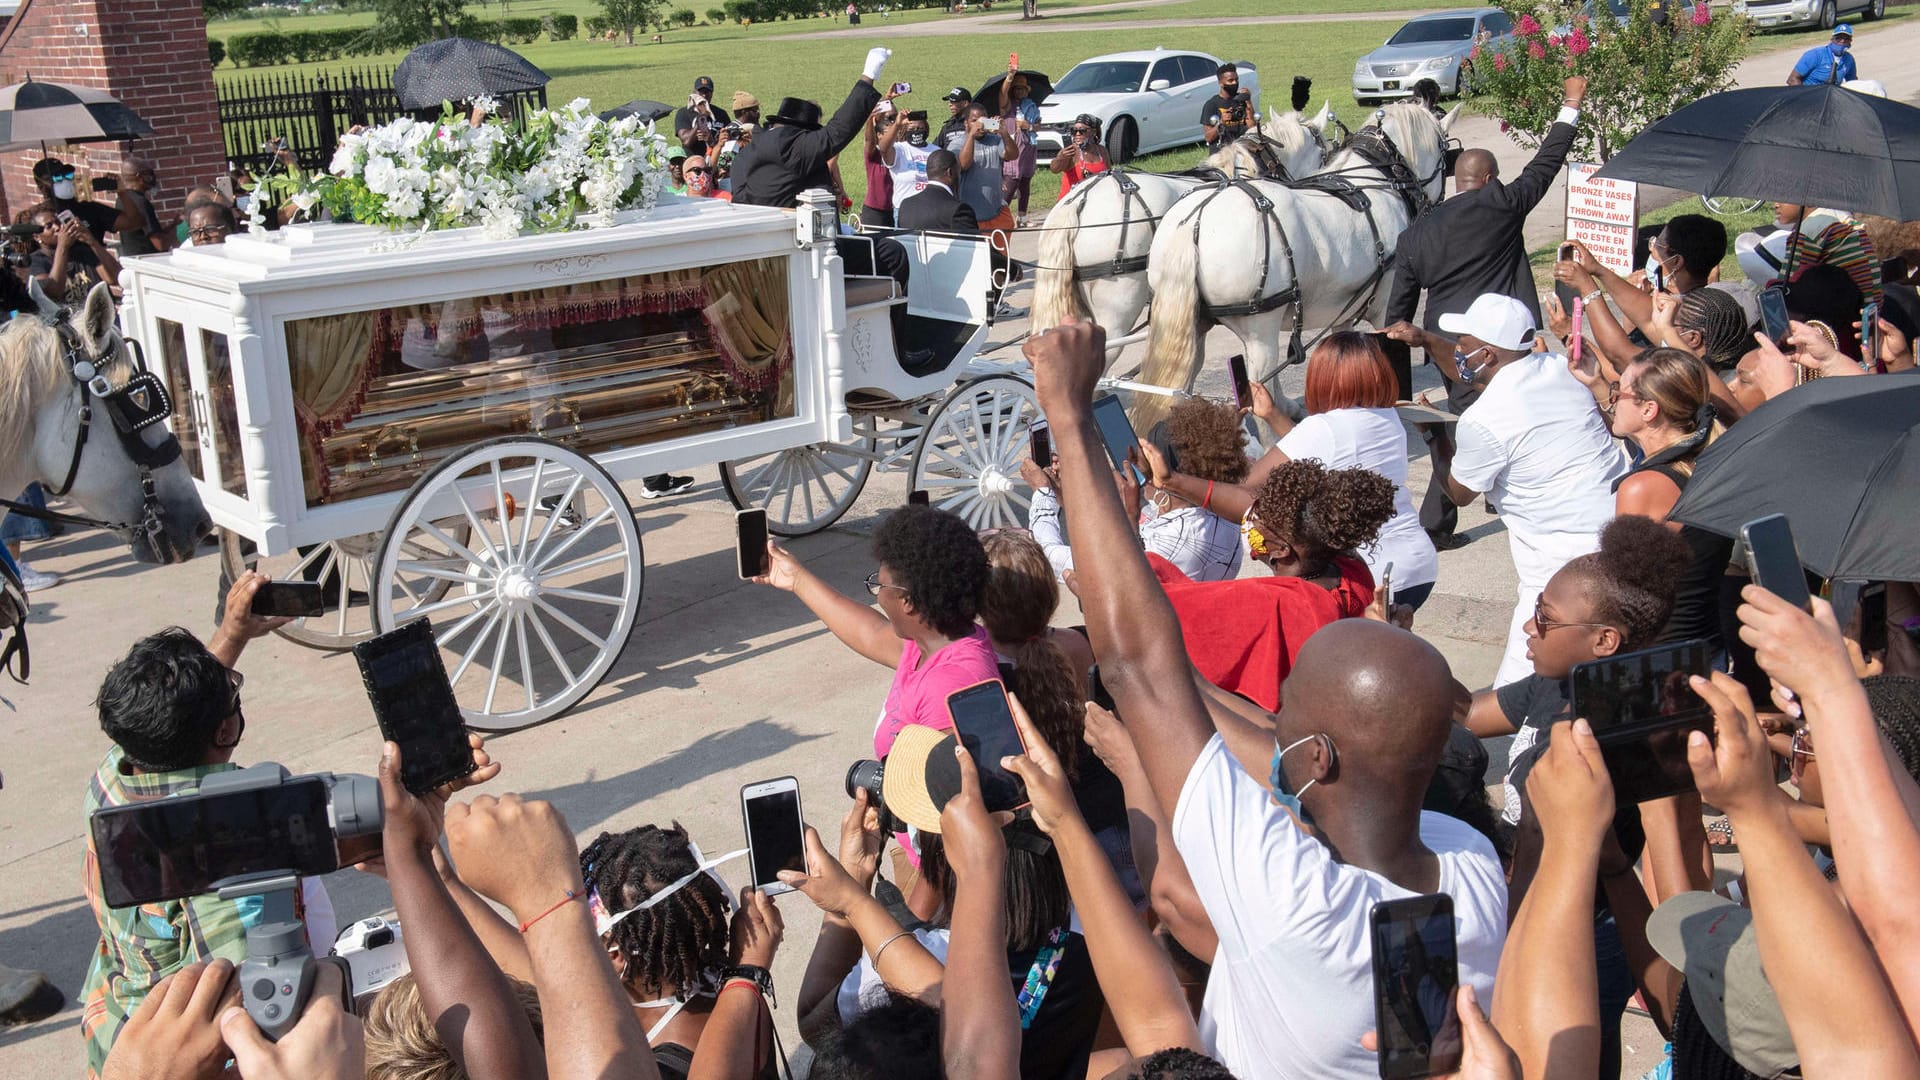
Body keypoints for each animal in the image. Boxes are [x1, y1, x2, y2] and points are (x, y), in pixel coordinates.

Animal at [1136, 98, 1451, 422]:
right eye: (1443, 151)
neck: (1380, 183)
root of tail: (1194, 220)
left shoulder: (1345, 309)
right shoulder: (1384, 307)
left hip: (1191, 326)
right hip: (1260, 328)